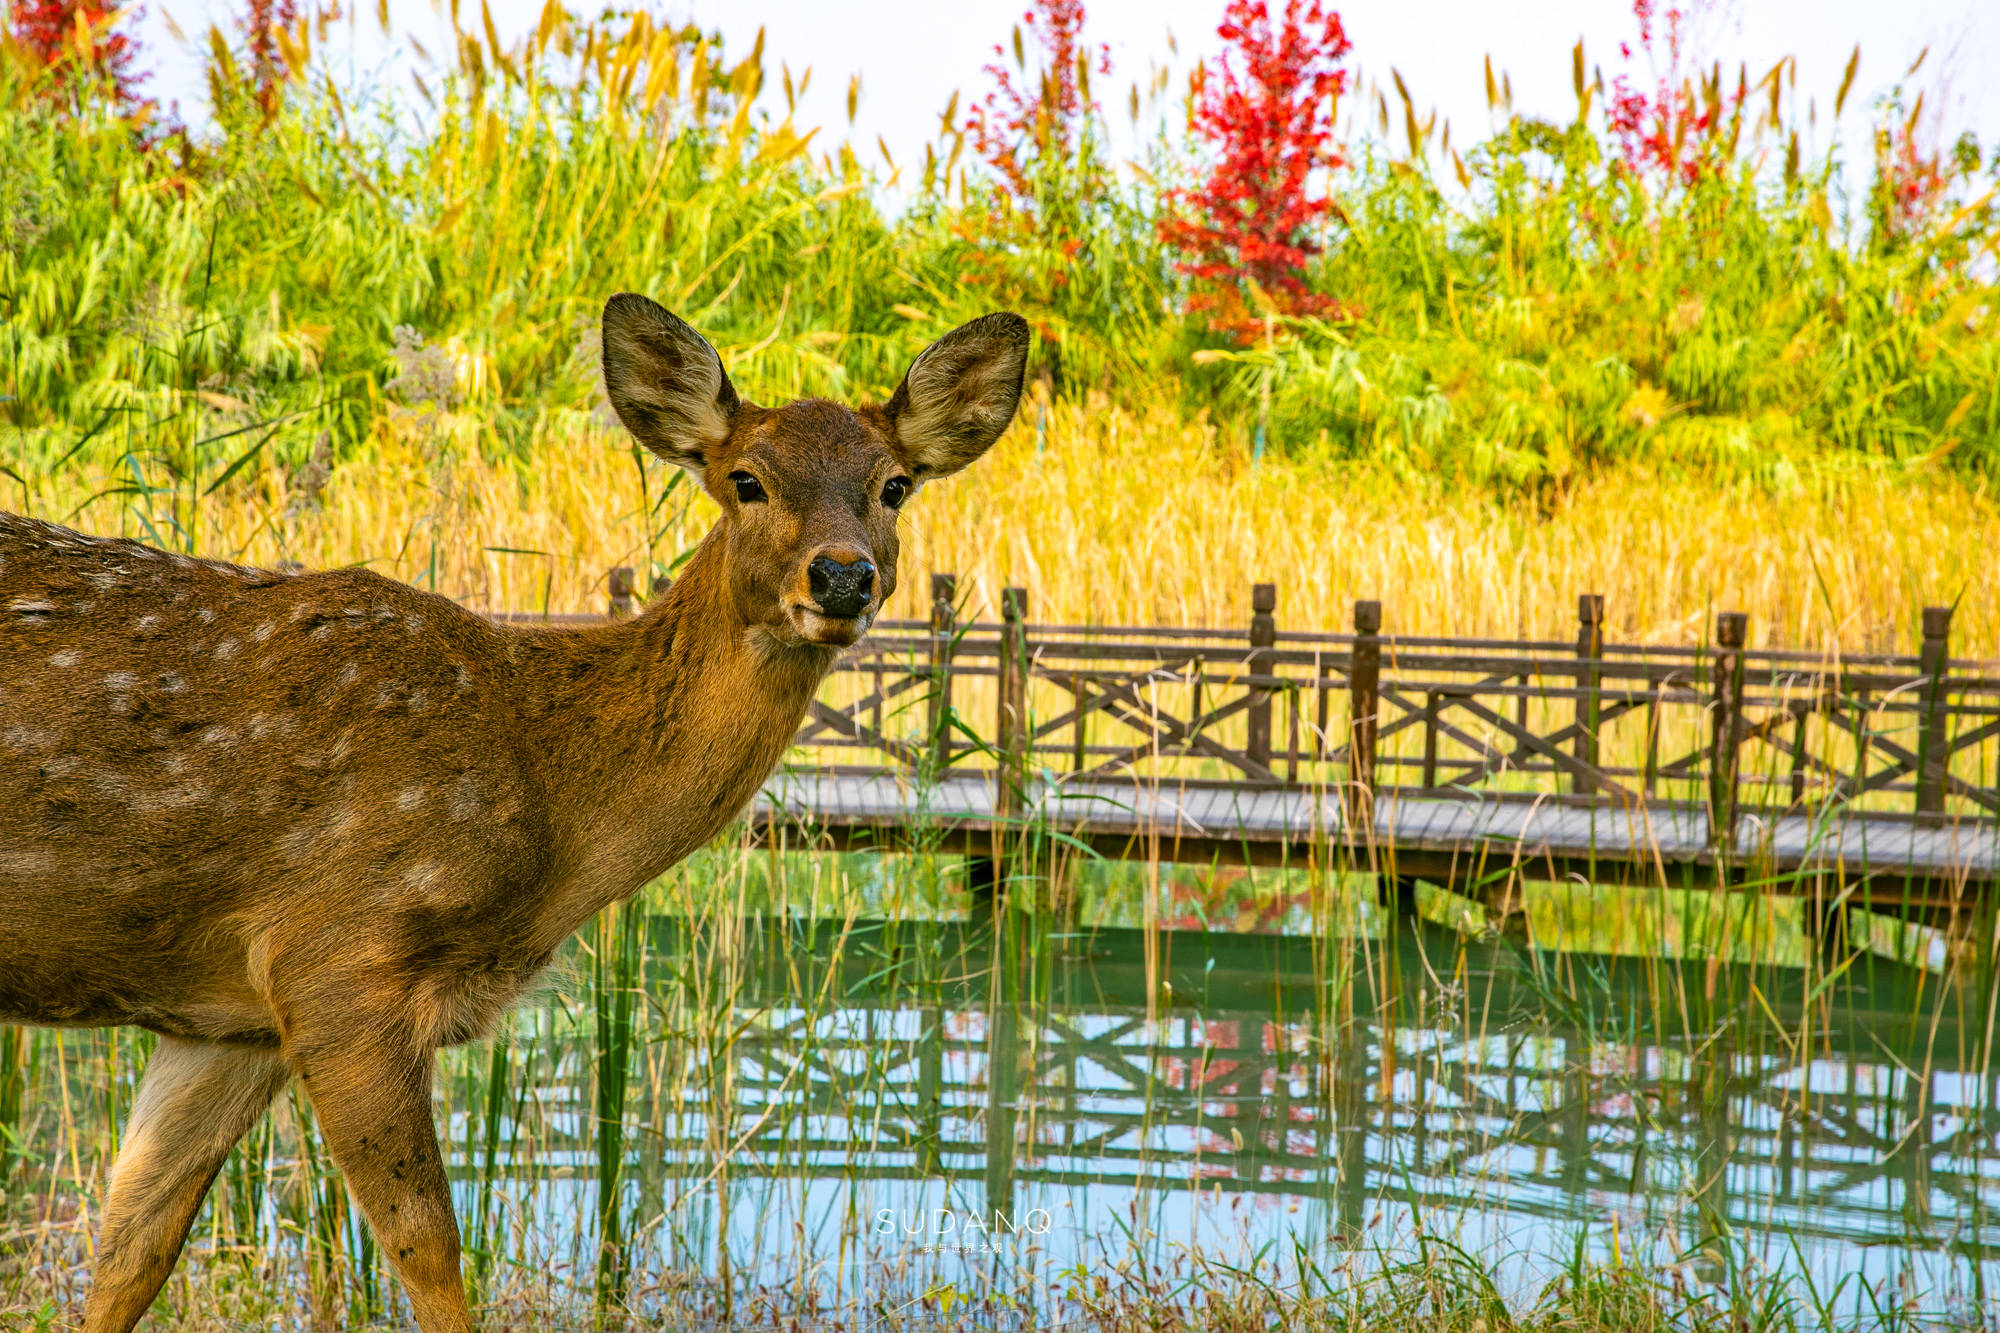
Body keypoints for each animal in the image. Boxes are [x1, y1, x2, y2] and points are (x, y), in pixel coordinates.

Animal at [0, 294, 1032, 1328]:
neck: (547, 787)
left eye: (895, 485)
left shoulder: (226, 1016)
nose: (843, 576)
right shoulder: (338, 954)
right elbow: (430, 1247)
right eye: (747, 479)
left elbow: (132, 1247)